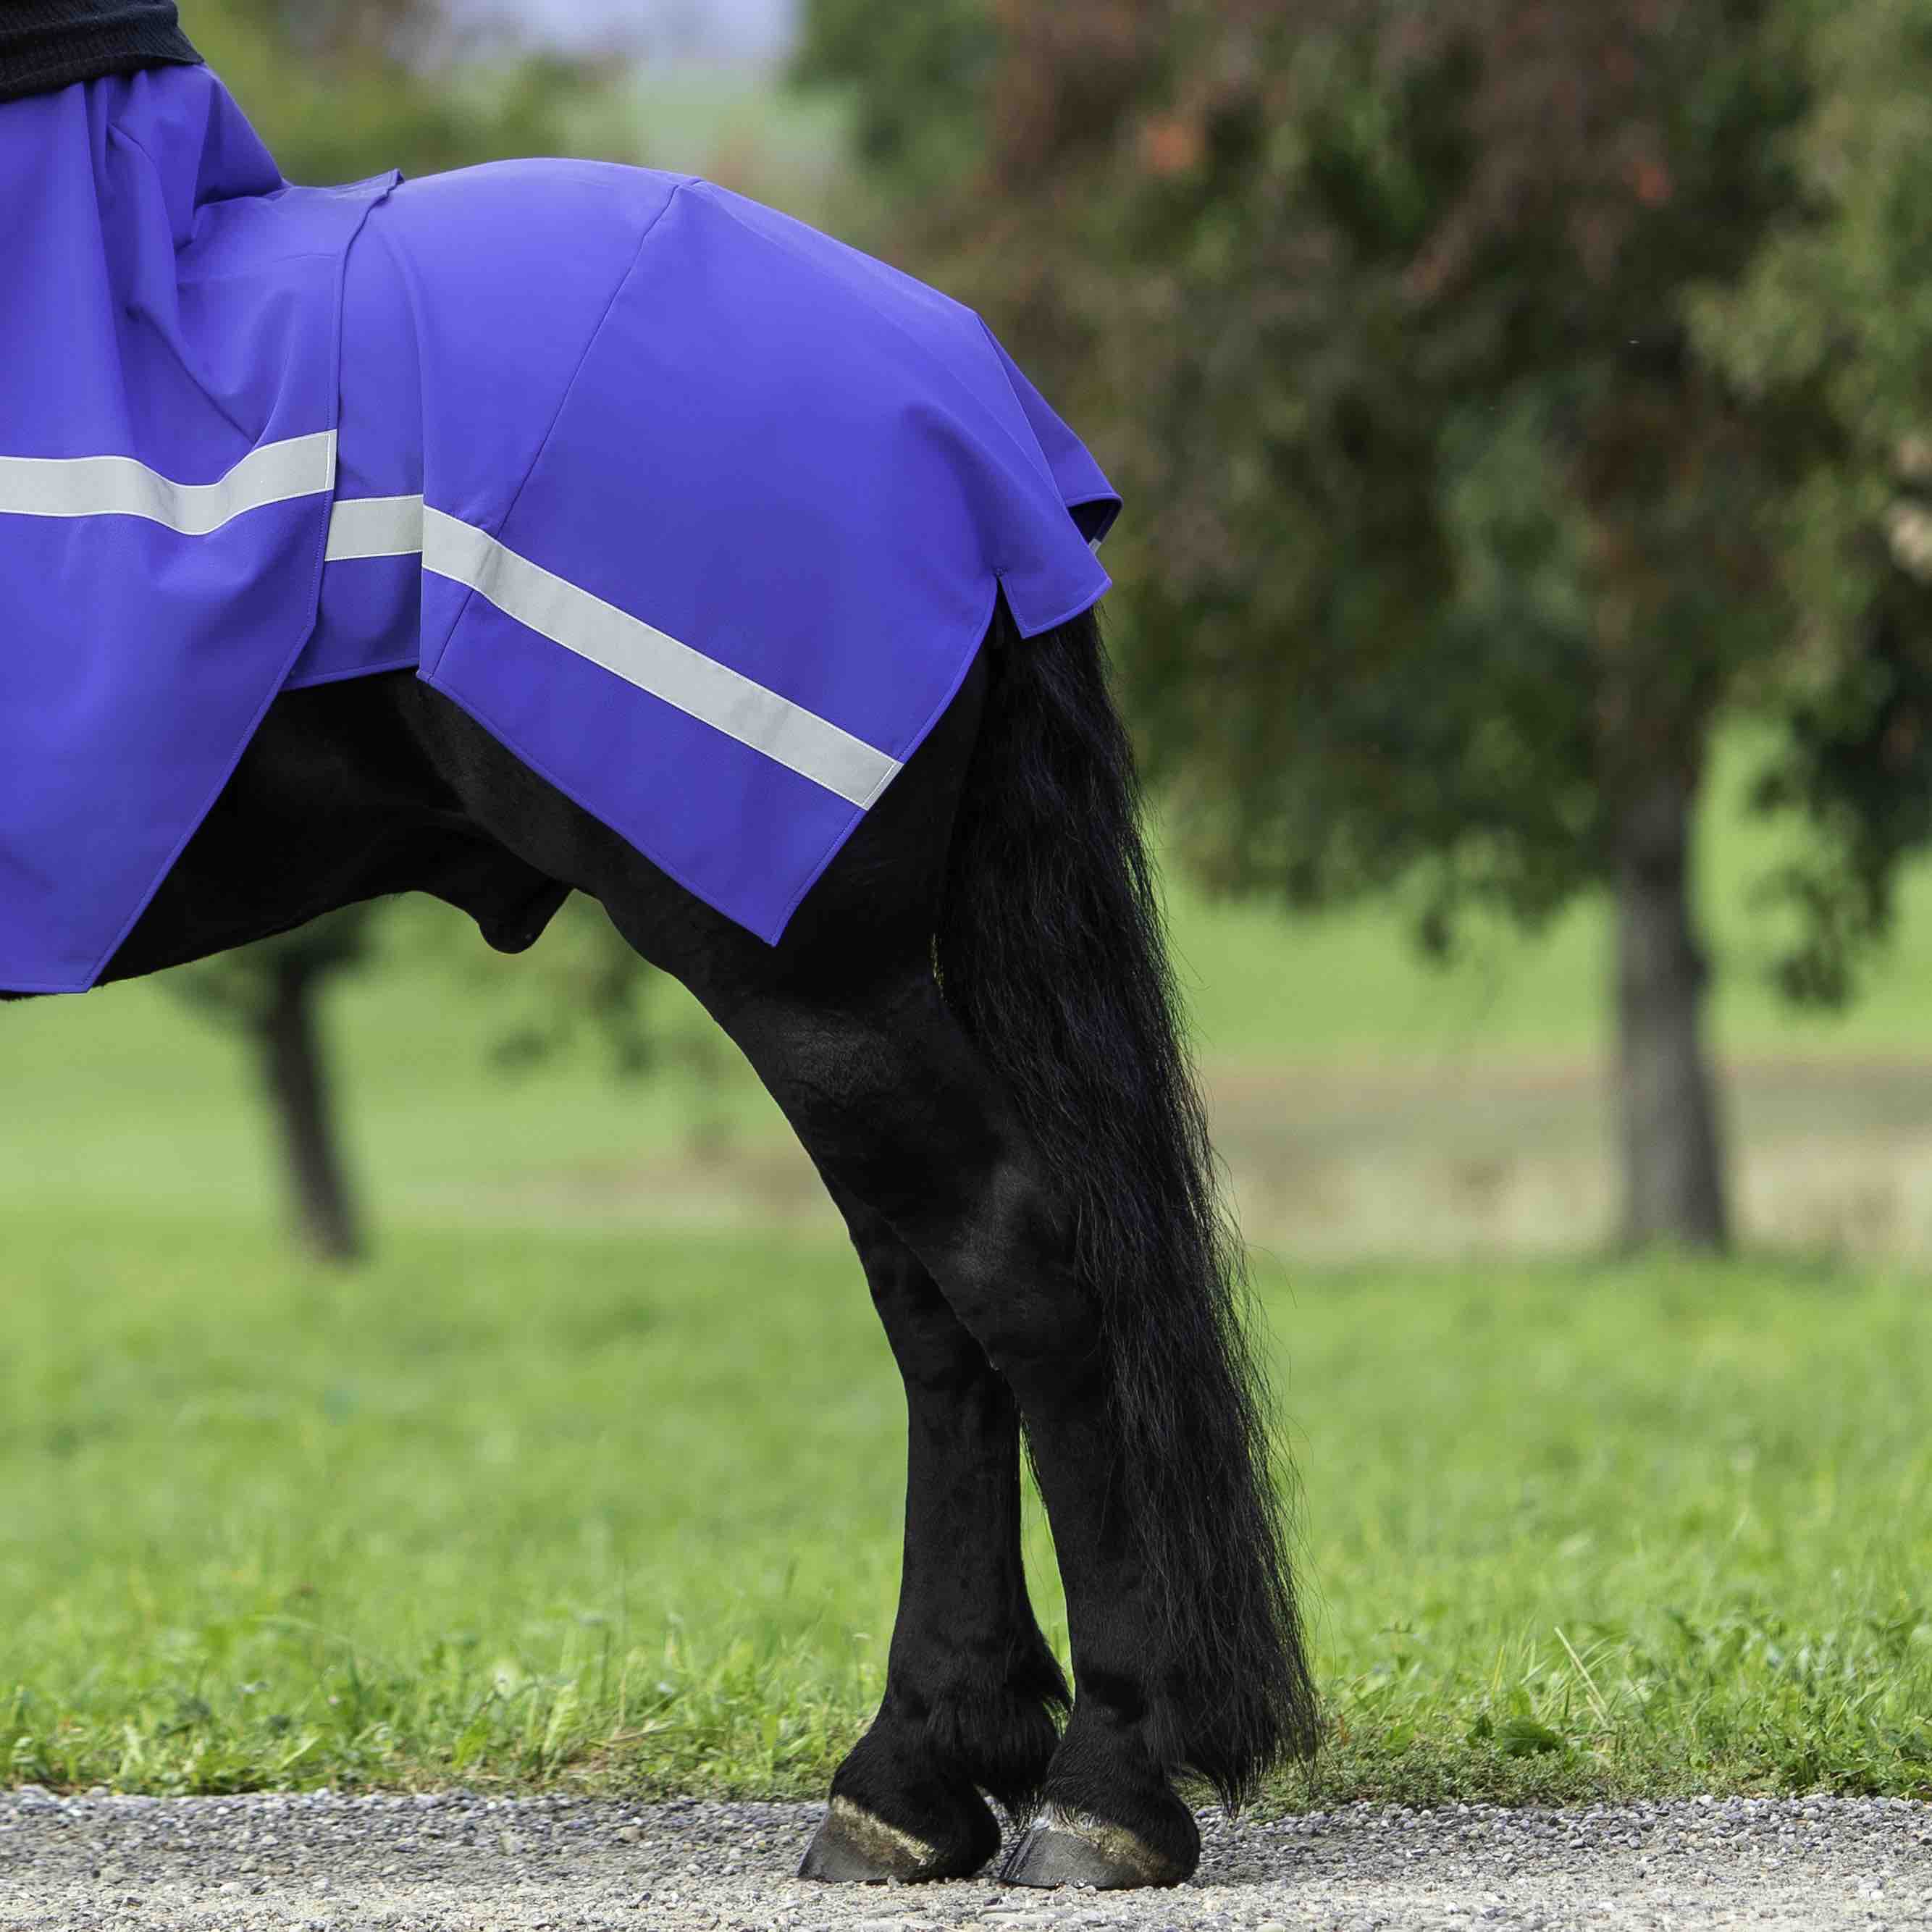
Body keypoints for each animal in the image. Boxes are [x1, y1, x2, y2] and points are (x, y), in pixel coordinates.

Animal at [1, 66, 1317, 1893]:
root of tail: (963, 395)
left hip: (794, 962)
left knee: (1017, 1272)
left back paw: (1098, 1784)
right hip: (835, 981)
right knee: (934, 1307)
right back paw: (921, 1766)